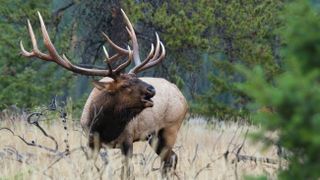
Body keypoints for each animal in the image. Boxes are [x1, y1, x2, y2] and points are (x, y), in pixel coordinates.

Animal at [20, 9, 188, 173]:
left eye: (137, 78)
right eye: (124, 85)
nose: (151, 89)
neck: (105, 126)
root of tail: (182, 97)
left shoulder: (128, 140)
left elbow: (126, 172)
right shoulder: (91, 141)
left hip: (170, 128)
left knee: (170, 159)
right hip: (153, 137)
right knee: (172, 158)